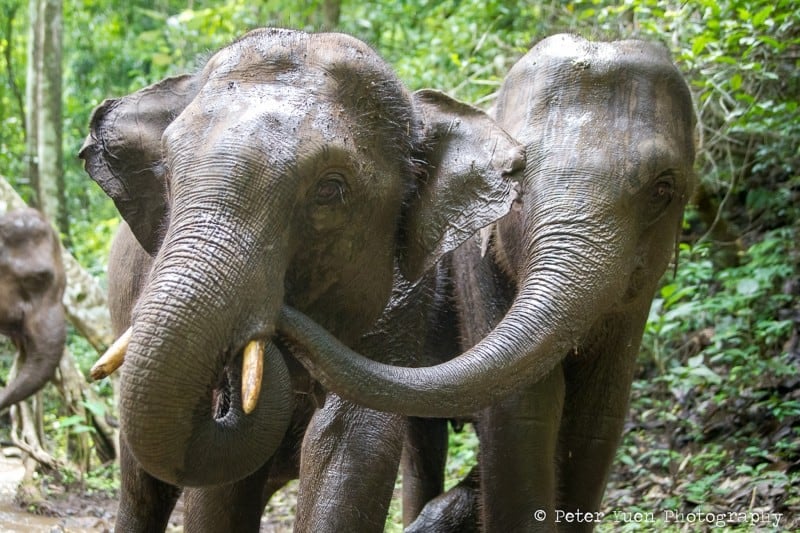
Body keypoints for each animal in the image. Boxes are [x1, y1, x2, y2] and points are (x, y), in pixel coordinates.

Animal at [78, 29, 520, 532]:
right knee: (142, 486)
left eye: (331, 189)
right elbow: (218, 489)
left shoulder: (403, 296)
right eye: (167, 172)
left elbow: (351, 444)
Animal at [276, 34, 700, 532]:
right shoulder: (474, 267)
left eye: (663, 189)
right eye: (518, 175)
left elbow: (599, 417)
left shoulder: (639, 298)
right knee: (422, 440)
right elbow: (524, 410)